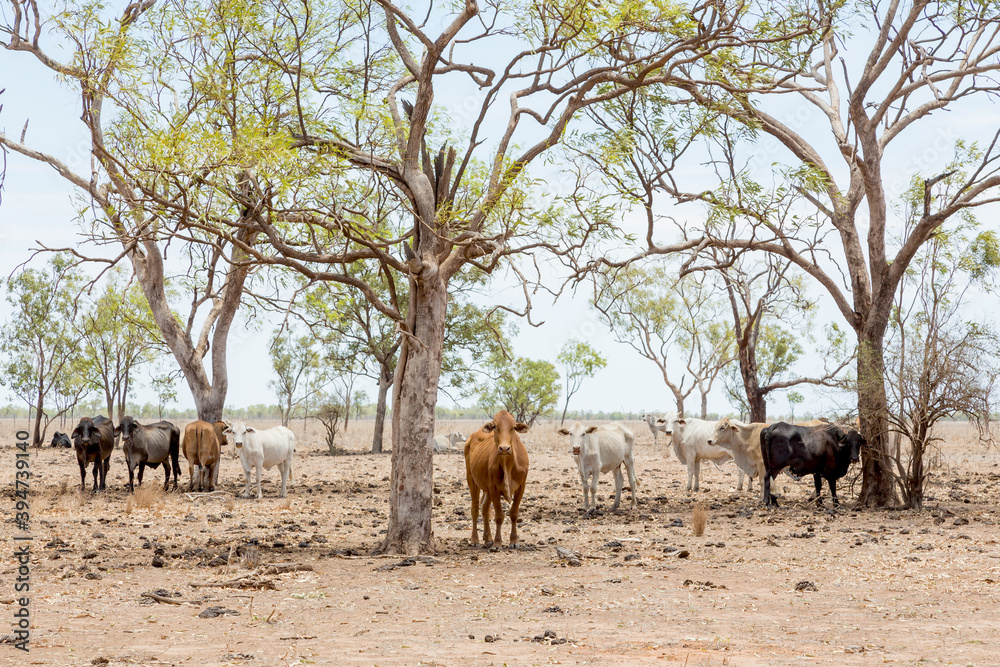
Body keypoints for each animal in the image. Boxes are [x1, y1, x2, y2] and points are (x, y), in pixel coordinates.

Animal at [464, 410, 530, 548]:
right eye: (495, 426)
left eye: (513, 427)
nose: (504, 448)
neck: (507, 464)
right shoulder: (494, 488)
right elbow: (499, 516)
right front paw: (498, 542)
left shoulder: (521, 486)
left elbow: (514, 514)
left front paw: (514, 541)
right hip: (471, 479)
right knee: (475, 509)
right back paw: (475, 539)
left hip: (486, 488)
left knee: (484, 508)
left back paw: (488, 538)